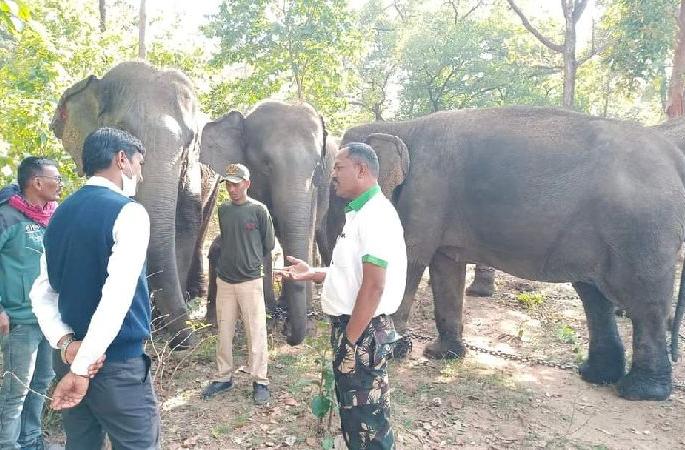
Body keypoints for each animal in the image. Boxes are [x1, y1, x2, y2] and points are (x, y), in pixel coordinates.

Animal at [50, 61, 215, 347]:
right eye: (123, 131)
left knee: (201, 222)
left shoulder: (192, 170)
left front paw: (162, 328)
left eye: (190, 142)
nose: (190, 341)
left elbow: (184, 223)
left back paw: (193, 294)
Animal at [200, 101, 328, 345]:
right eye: (266, 164)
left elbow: (306, 230)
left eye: (317, 166)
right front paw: (269, 316)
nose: (288, 334)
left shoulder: (316, 188)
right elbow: (264, 237)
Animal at [320, 106, 685, 401]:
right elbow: (446, 267)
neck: (403, 126)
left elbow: (413, 257)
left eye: (334, 182)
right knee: (595, 296)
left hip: (643, 230)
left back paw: (639, 391)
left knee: (643, 300)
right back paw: (595, 375)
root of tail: (673, 156)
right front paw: (442, 354)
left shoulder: (426, 192)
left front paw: (395, 352)